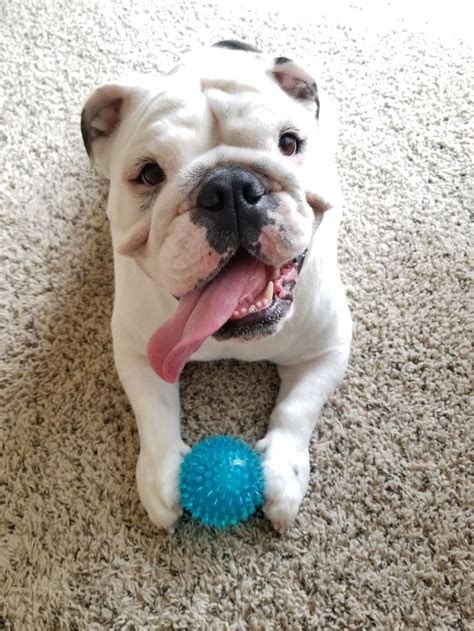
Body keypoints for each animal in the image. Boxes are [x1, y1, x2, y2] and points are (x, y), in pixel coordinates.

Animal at [79, 39, 350, 532]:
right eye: (149, 174)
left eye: (288, 144)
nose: (230, 186)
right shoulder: (135, 351)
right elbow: (153, 410)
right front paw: (162, 477)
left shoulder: (328, 348)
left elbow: (298, 406)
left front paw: (282, 476)